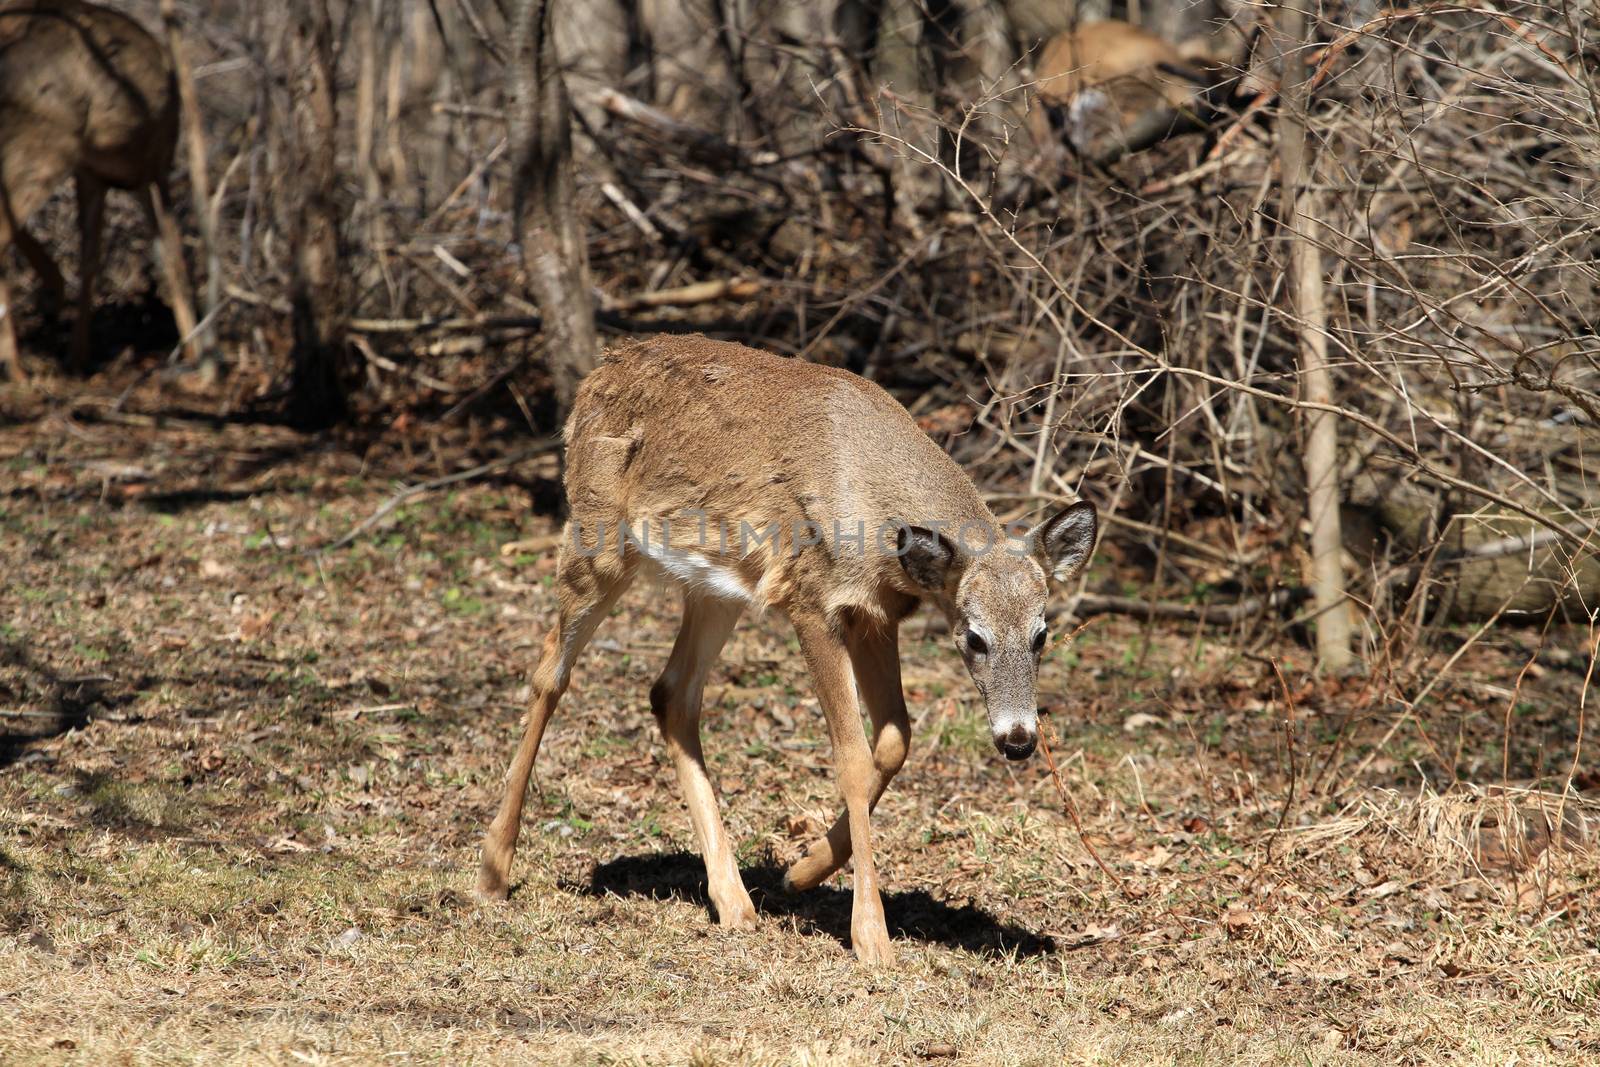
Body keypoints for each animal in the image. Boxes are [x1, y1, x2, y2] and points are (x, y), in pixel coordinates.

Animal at [0, 0, 198, 382]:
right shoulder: (152, 168)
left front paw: (78, 354)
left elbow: (90, 253)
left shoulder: (93, 171)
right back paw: (16, 370)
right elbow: (171, 252)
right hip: (46, 145)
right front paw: (199, 350)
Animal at [476, 335, 1100, 966]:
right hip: (596, 536)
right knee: (550, 671)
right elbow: (852, 756)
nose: (1018, 740)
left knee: (672, 693)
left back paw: (734, 902)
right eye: (974, 637)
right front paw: (871, 936)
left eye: (1041, 634)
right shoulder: (811, 599)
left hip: (715, 585)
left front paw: (800, 872)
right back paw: (493, 871)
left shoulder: (876, 614)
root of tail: (602, 367)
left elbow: (894, 740)